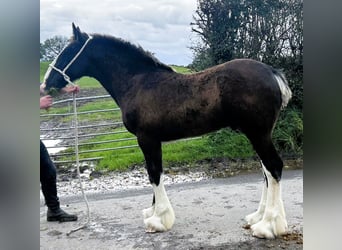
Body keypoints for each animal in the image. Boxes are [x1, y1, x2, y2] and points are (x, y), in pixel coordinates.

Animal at [43, 23, 292, 238]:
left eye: (67, 52)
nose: (46, 84)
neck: (139, 82)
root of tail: (272, 72)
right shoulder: (153, 141)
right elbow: (154, 173)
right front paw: (153, 212)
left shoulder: (147, 139)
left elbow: (154, 174)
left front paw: (158, 220)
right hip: (256, 134)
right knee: (266, 172)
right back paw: (259, 217)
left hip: (258, 134)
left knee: (273, 167)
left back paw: (267, 226)